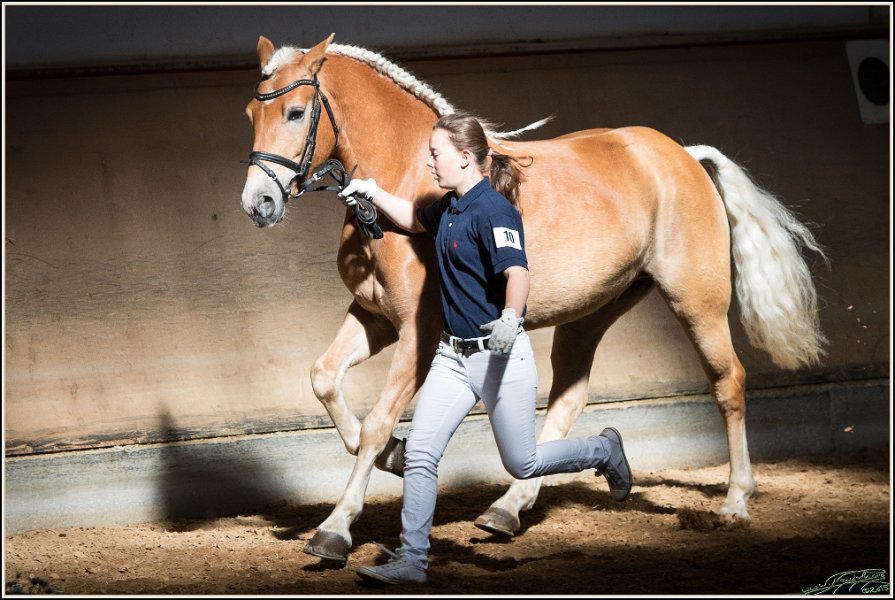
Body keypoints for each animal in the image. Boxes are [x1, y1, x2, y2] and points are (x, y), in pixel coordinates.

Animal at [240, 34, 826, 563]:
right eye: (251, 113)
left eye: (295, 112)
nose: (259, 203)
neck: (410, 183)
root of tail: (682, 154)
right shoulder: (374, 317)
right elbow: (324, 379)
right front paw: (395, 457)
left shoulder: (418, 331)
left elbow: (377, 421)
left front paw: (336, 528)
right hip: (593, 312)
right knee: (568, 398)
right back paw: (508, 508)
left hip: (696, 303)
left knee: (729, 383)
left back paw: (735, 502)